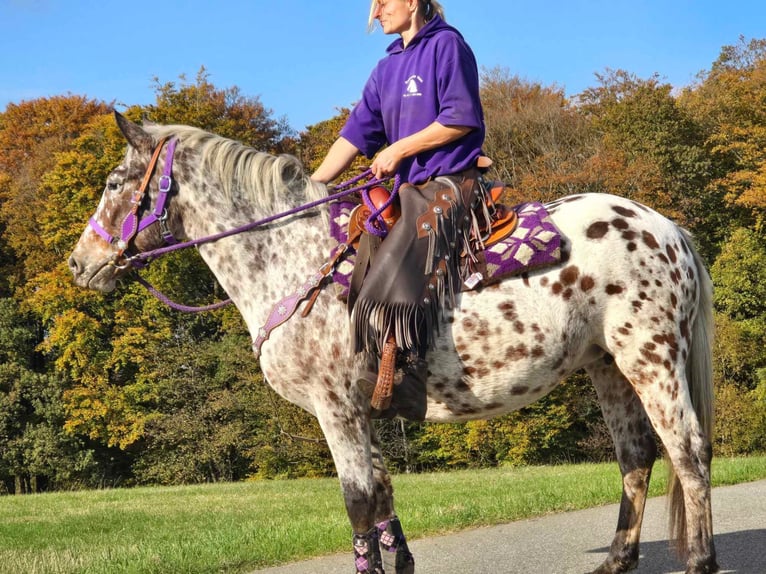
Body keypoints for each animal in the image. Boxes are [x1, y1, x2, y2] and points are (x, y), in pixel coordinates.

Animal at [67, 111, 720, 574]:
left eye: (114, 181)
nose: (78, 264)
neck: (291, 259)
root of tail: (668, 228)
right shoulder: (362, 412)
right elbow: (382, 496)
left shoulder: (334, 406)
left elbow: (358, 501)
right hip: (606, 365)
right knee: (636, 457)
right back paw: (615, 560)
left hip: (652, 357)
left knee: (688, 452)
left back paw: (698, 561)